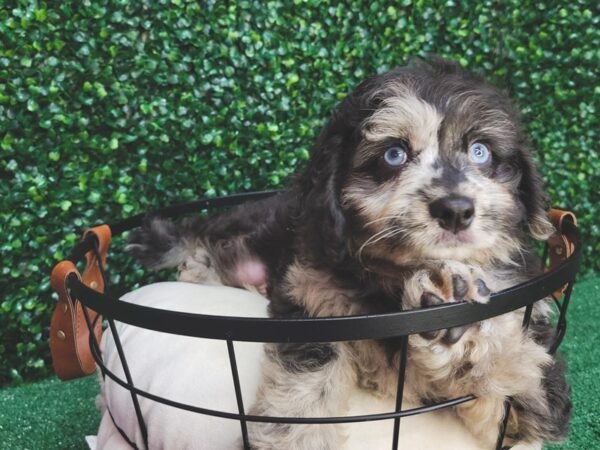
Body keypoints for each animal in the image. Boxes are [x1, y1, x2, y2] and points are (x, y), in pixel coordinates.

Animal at [127, 59, 572, 450]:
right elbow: (306, 385)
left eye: (481, 152)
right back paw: (178, 253)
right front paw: (293, 442)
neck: (391, 282)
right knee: (206, 232)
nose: (455, 210)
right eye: (394, 154)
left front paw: (457, 325)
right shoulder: (313, 303)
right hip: (257, 221)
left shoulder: (531, 387)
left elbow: (522, 394)